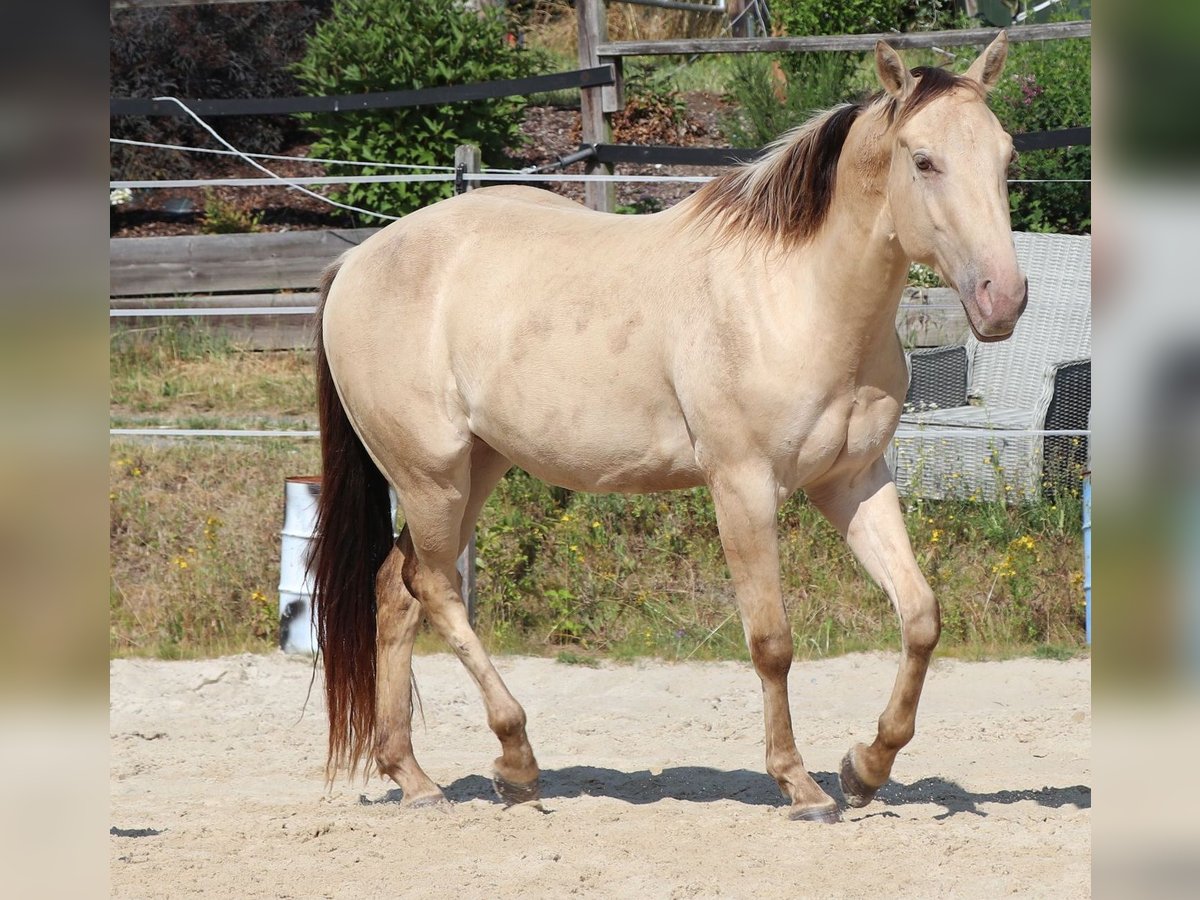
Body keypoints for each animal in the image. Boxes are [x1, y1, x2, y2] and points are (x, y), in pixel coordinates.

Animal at [309, 34, 1026, 823]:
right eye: (923, 160)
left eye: (1006, 155)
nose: (1003, 299)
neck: (794, 298)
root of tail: (357, 261)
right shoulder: (742, 488)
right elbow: (772, 641)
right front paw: (799, 785)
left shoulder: (853, 483)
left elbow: (921, 617)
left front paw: (865, 769)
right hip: (430, 476)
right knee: (433, 589)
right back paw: (516, 760)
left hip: (475, 471)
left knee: (396, 592)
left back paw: (415, 777)